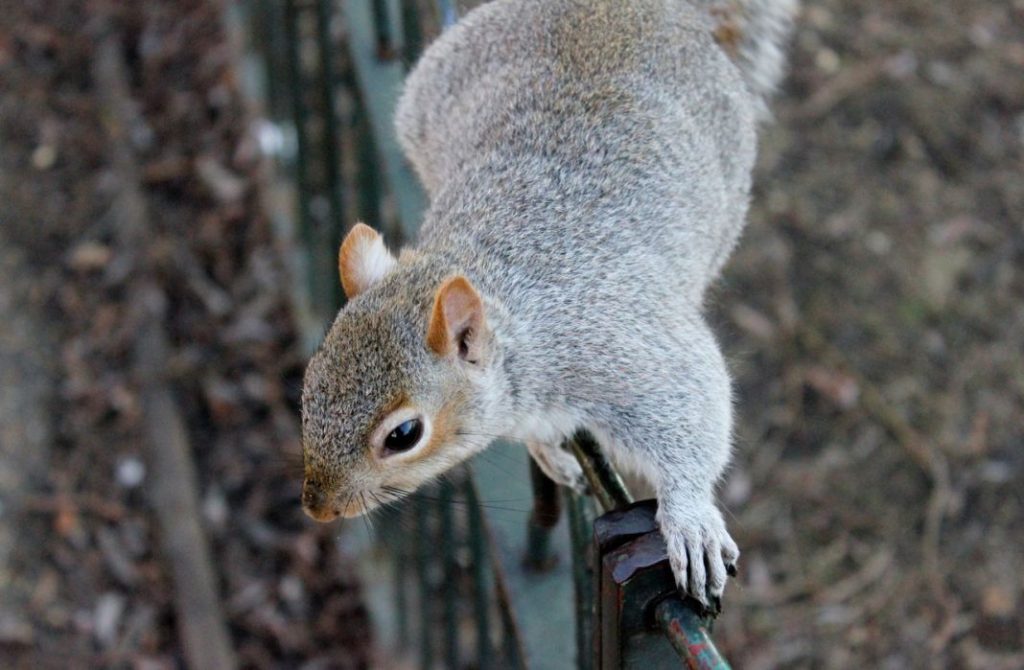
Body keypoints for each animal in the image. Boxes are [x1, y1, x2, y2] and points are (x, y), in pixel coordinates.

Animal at [299, 0, 794, 610]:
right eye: (309, 383)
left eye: (404, 435)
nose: (319, 508)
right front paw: (548, 453)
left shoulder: (624, 344)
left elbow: (688, 407)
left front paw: (690, 517)